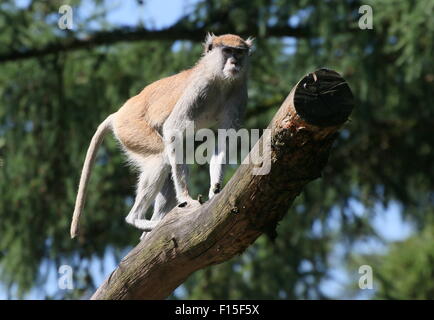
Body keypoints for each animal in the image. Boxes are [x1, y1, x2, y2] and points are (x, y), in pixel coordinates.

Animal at [70, 33, 253, 239]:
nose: (234, 62)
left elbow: (224, 140)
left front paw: (215, 189)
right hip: (132, 129)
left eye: (239, 52)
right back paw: (136, 219)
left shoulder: (239, 94)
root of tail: (117, 114)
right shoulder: (199, 89)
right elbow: (173, 128)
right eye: (227, 51)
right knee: (160, 157)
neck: (221, 80)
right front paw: (186, 197)